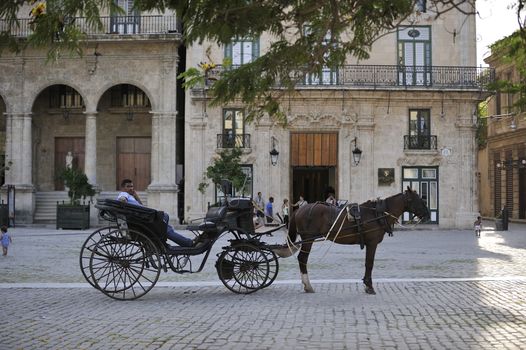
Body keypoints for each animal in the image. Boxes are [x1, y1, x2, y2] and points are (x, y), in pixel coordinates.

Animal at [278, 187, 432, 294]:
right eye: (419, 200)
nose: (428, 215)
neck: (376, 214)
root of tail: (299, 209)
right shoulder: (372, 243)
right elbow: (369, 263)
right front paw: (369, 286)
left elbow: (367, 263)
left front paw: (366, 283)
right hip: (307, 240)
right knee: (302, 259)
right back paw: (308, 285)